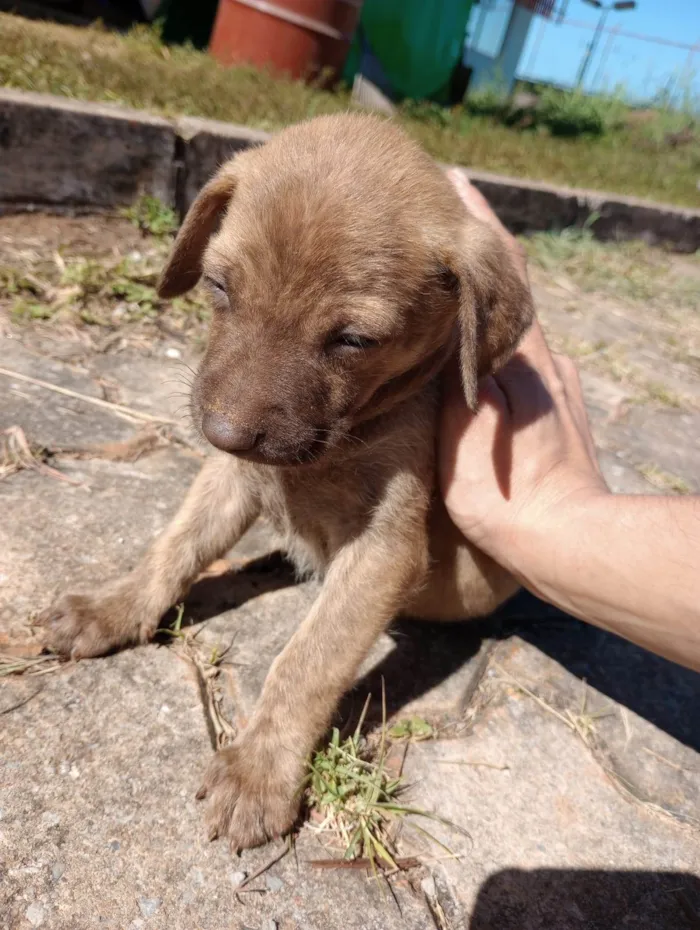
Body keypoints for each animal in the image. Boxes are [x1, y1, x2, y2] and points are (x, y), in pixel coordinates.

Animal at [43, 114, 532, 848]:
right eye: (218, 287)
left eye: (355, 340)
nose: (221, 433)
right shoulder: (233, 481)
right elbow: (173, 547)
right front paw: (115, 608)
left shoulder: (385, 551)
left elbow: (308, 660)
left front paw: (259, 769)